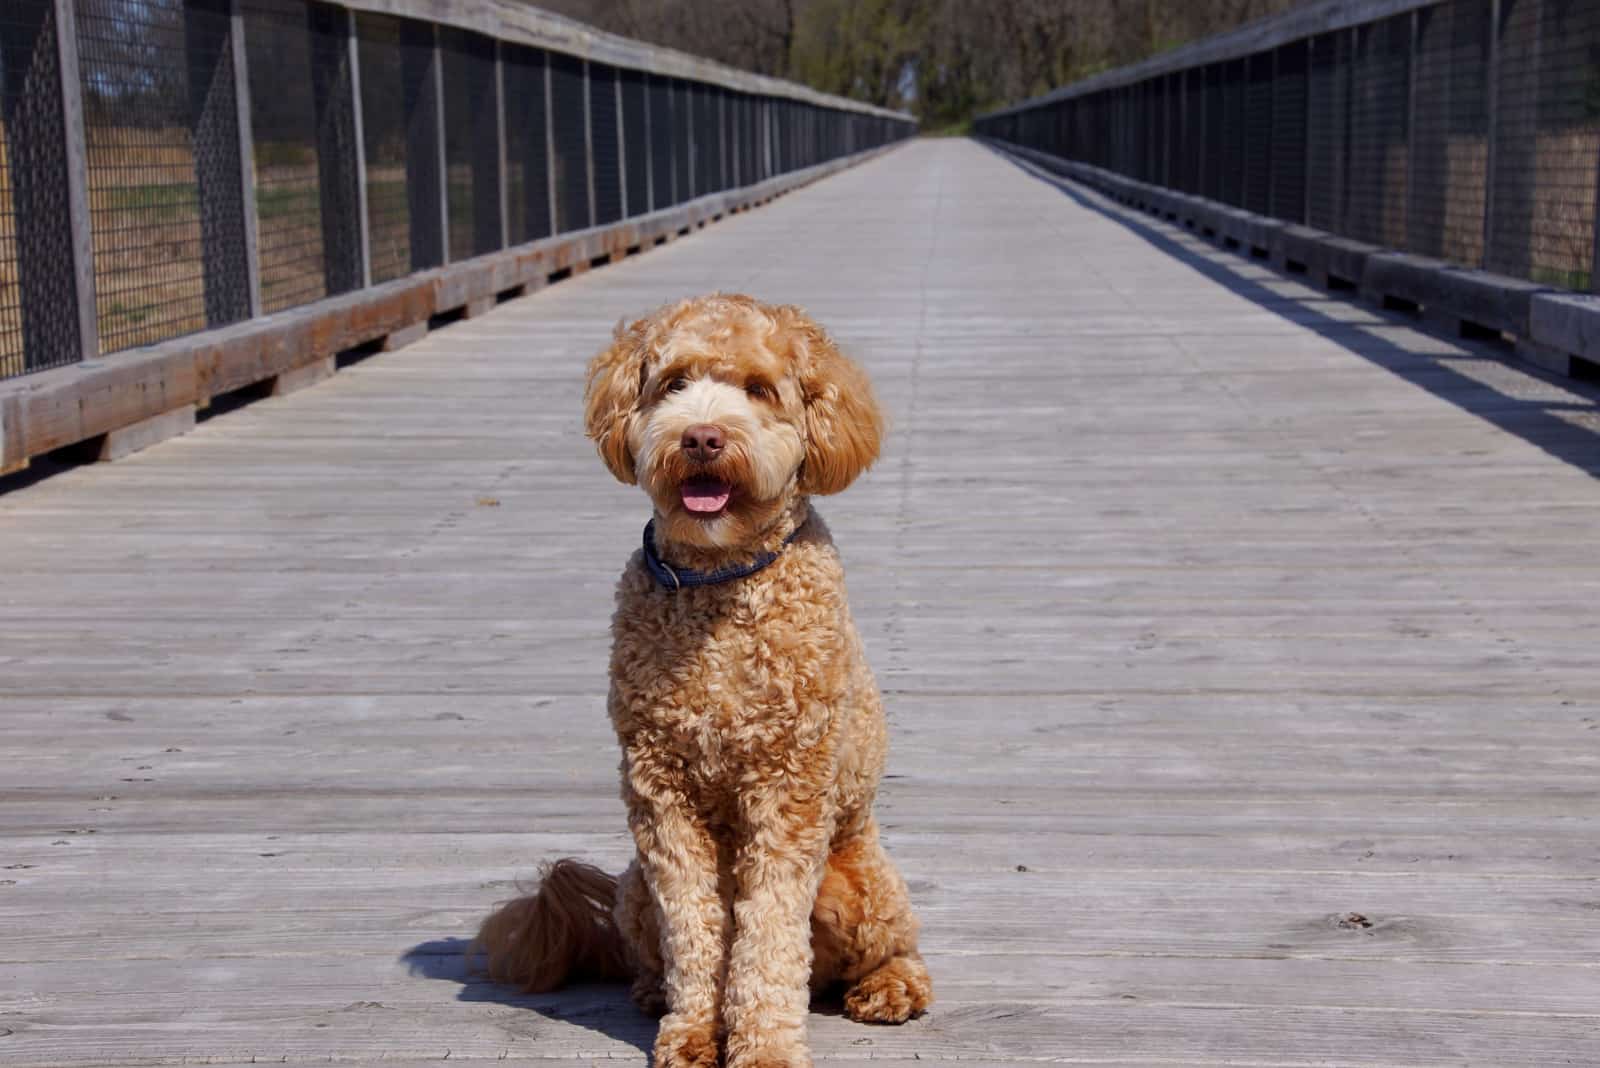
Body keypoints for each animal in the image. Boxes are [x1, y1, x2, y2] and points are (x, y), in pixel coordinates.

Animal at [467, 294, 934, 1068]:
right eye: (674, 384)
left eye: (759, 389)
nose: (703, 438)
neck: (718, 584)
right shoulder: (662, 796)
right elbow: (694, 929)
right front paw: (691, 1032)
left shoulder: (788, 792)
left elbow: (767, 936)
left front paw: (765, 1046)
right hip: (631, 886)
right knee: (652, 947)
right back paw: (651, 992)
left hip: (858, 887)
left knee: (893, 948)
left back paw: (890, 988)